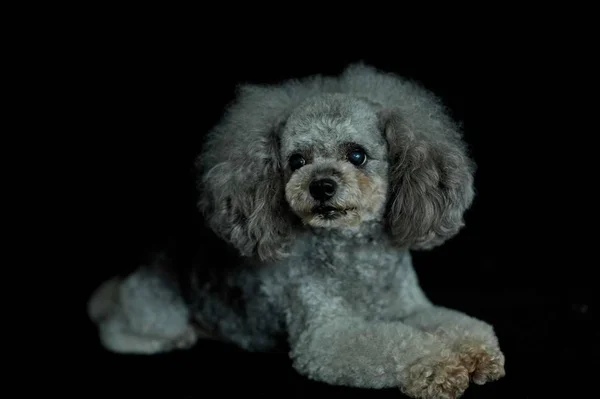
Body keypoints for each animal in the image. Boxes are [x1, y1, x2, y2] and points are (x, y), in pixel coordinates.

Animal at [86, 63, 504, 399]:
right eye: (297, 160)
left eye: (357, 155)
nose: (321, 186)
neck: (357, 260)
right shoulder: (323, 337)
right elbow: (396, 343)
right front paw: (437, 363)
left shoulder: (411, 308)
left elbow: (454, 322)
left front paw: (476, 351)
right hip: (155, 309)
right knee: (114, 328)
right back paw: (170, 337)